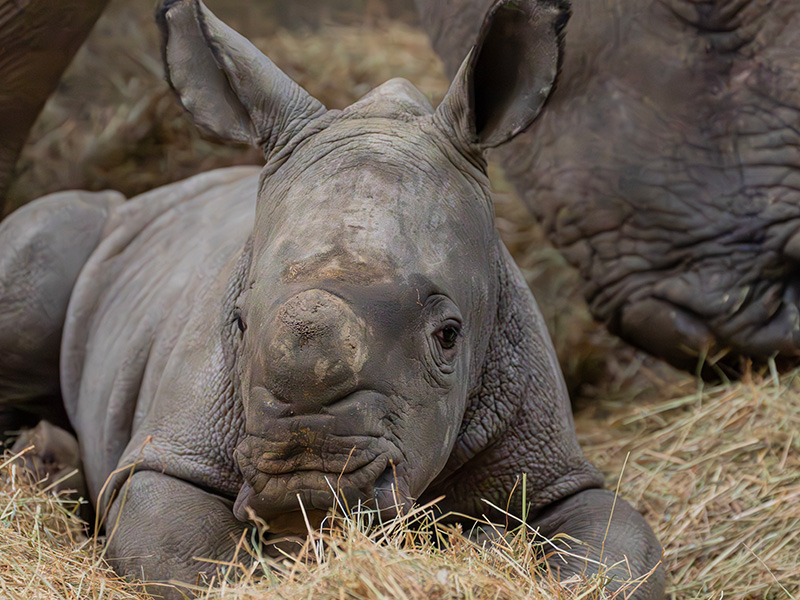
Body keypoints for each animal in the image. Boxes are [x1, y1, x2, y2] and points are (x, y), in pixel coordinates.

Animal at [0, 0, 664, 597]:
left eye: (449, 335)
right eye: (237, 324)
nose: (308, 485)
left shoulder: (555, 466)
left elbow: (617, 554)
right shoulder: (166, 459)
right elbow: (182, 555)